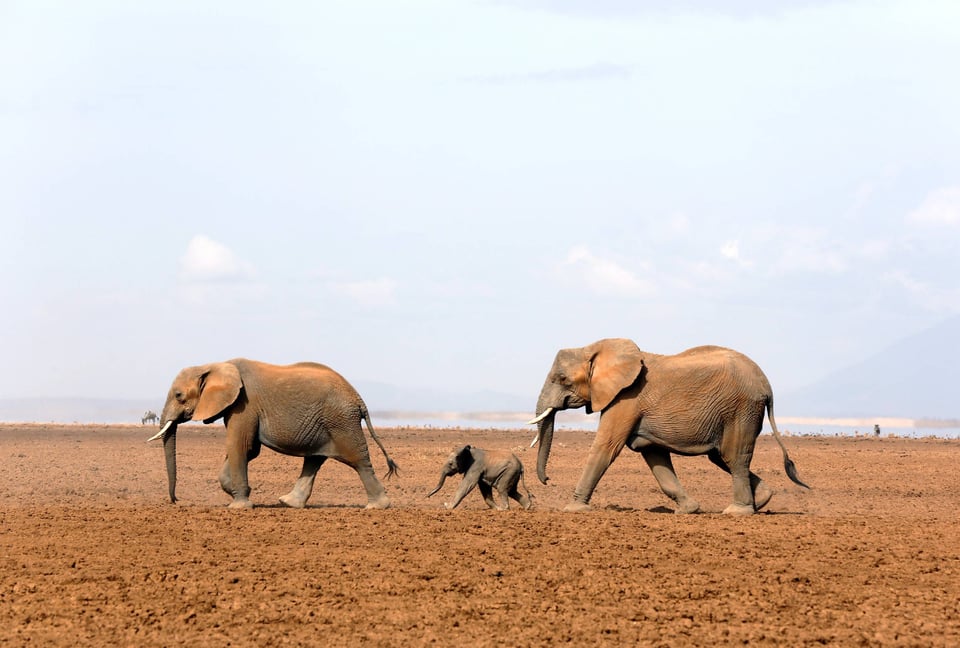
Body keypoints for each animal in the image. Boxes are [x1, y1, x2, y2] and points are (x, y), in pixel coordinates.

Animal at [148, 359, 399, 509]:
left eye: (179, 395)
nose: (176, 500)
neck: (215, 364)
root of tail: (359, 399)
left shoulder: (244, 404)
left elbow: (240, 446)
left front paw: (239, 506)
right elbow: (249, 450)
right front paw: (236, 491)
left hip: (341, 422)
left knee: (358, 460)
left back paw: (377, 506)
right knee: (314, 460)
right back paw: (288, 503)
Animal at [529, 338, 808, 515]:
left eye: (562, 379)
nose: (547, 480)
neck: (594, 349)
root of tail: (766, 385)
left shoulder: (626, 398)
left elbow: (606, 447)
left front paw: (573, 509)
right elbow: (653, 454)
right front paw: (688, 510)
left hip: (741, 410)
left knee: (734, 457)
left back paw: (737, 512)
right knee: (721, 457)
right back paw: (761, 501)